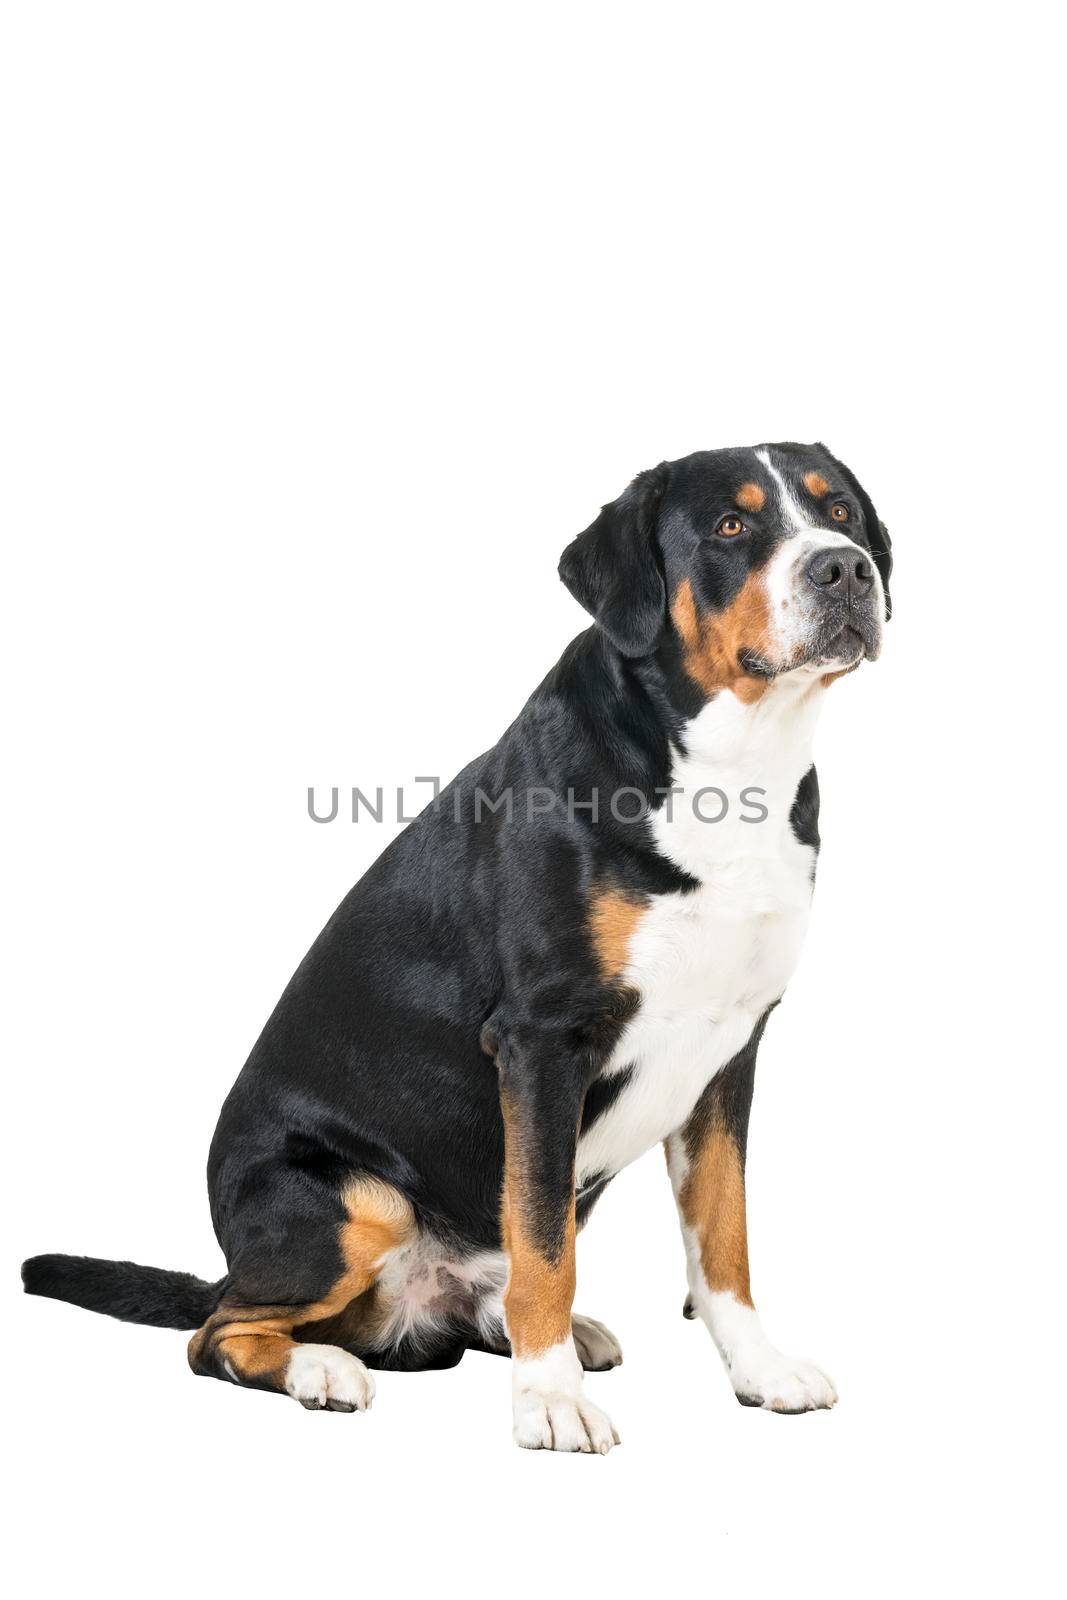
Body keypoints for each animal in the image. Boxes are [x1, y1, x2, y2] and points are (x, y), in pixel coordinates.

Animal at [22, 438, 895, 1452]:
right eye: (730, 525)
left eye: (839, 512)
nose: (845, 569)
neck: (733, 772)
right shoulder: (542, 1039)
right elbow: (545, 1246)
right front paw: (549, 1400)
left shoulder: (730, 1049)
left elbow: (722, 1238)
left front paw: (757, 1371)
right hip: (357, 1202)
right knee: (218, 1330)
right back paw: (324, 1367)